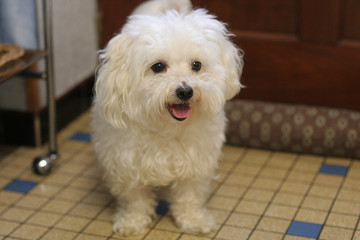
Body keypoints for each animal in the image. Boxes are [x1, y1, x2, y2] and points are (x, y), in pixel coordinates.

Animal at [93, 0, 245, 236]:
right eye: (158, 67)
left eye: (196, 65)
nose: (185, 91)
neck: (166, 128)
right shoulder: (127, 165)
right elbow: (135, 200)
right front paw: (132, 222)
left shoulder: (196, 163)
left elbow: (189, 197)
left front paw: (193, 220)